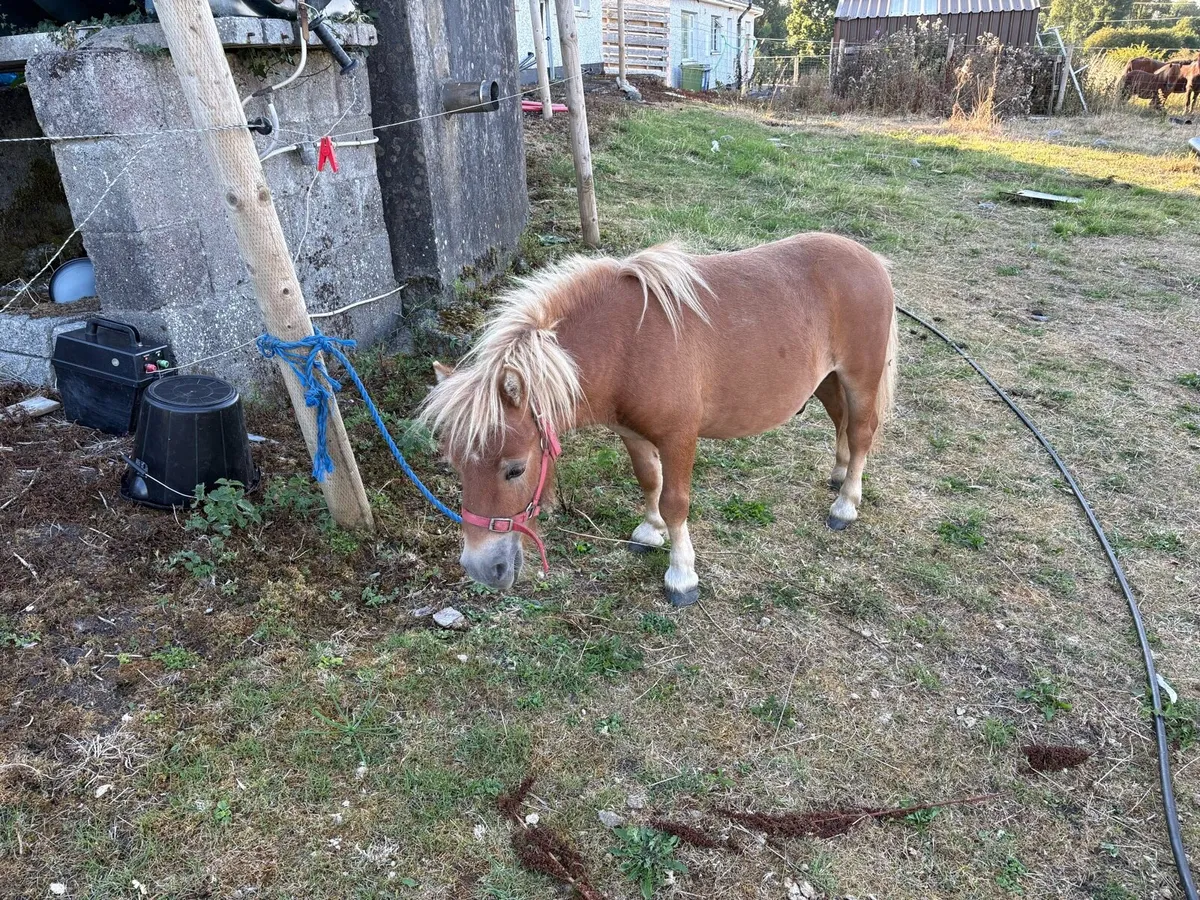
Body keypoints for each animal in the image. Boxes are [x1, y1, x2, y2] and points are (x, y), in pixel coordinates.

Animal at [417, 232, 898, 607]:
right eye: (455, 466)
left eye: (514, 469)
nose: (482, 568)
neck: (626, 344)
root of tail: (870, 259)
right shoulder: (632, 434)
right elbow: (649, 480)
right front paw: (650, 532)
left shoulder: (678, 437)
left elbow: (675, 502)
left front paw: (681, 576)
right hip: (826, 381)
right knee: (840, 424)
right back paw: (837, 476)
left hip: (860, 377)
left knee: (861, 433)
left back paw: (846, 503)